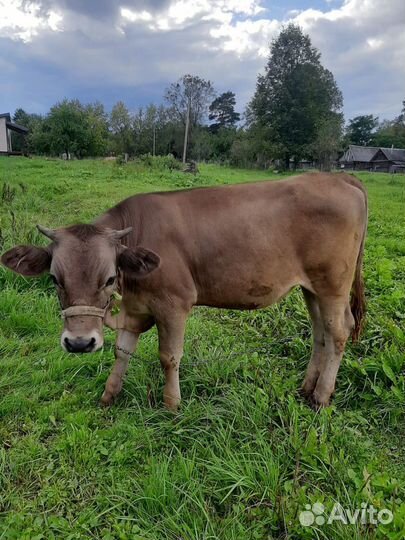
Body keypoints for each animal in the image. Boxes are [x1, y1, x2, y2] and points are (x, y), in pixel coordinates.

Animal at [0, 173, 366, 410]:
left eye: (108, 278)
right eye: (54, 279)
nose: (79, 343)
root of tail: (339, 177)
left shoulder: (174, 304)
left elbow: (169, 356)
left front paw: (172, 405)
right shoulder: (136, 307)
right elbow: (122, 351)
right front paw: (109, 395)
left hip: (333, 284)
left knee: (338, 332)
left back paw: (321, 397)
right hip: (311, 288)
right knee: (319, 333)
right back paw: (306, 388)